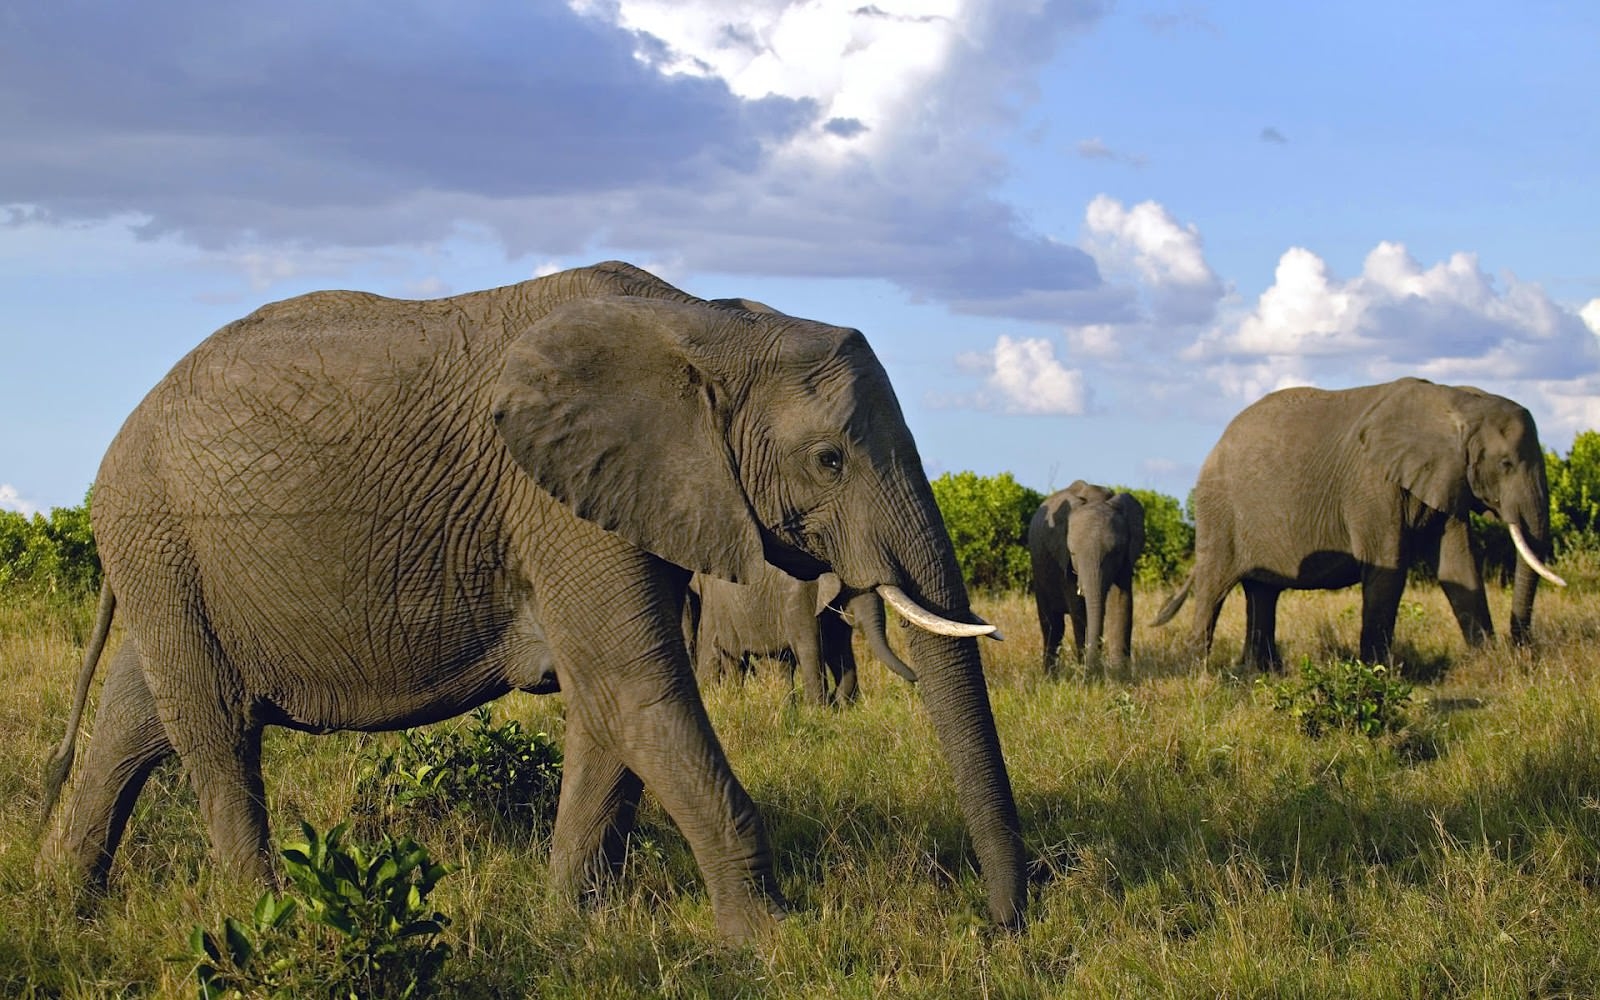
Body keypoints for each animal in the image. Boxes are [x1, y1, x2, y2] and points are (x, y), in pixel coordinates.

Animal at [684, 566, 921, 707]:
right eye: (852, 589)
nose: (916, 679)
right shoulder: (799, 596)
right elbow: (811, 649)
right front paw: (819, 710)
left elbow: (838, 650)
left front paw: (841, 706)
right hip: (720, 609)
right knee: (729, 657)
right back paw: (727, 699)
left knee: (778, 663)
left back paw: (786, 706)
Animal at [1030, 483, 1145, 678]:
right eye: (1073, 553)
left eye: (1116, 551)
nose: (1094, 669)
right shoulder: (1063, 561)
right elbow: (1079, 609)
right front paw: (1087, 674)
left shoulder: (1126, 559)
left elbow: (1121, 603)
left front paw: (1120, 674)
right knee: (1053, 625)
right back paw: (1050, 677)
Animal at [1158, 374, 1568, 672]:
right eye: (1506, 464)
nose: (1523, 648)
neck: (1456, 402)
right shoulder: (1372, 486)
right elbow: (1388, 568)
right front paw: (1379, 672)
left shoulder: (1446, 478)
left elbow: (1459, 566)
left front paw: (1488, 663)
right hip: (1218, 511)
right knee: (1214, 586)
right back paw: (1200, 672)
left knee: (1262, 592)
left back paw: (1261, 672)